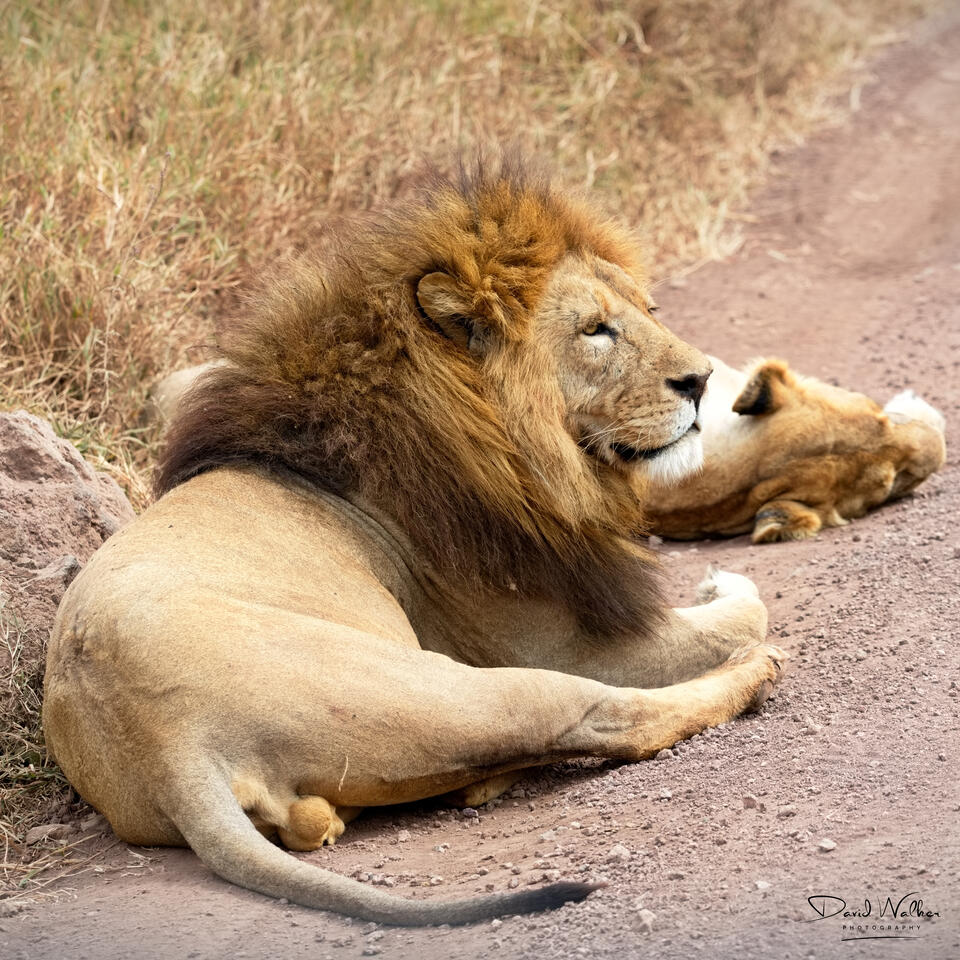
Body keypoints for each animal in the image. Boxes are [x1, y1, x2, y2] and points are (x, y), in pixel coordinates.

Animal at [43, 159, 785, 926]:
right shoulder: (568, 643)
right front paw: (726, 587)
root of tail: (170, 747)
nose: (700, 380)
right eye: (595, 330)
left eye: (649, 310)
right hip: (460, 688)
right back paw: (751, 674)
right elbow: (743, 612)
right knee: (610, 717)